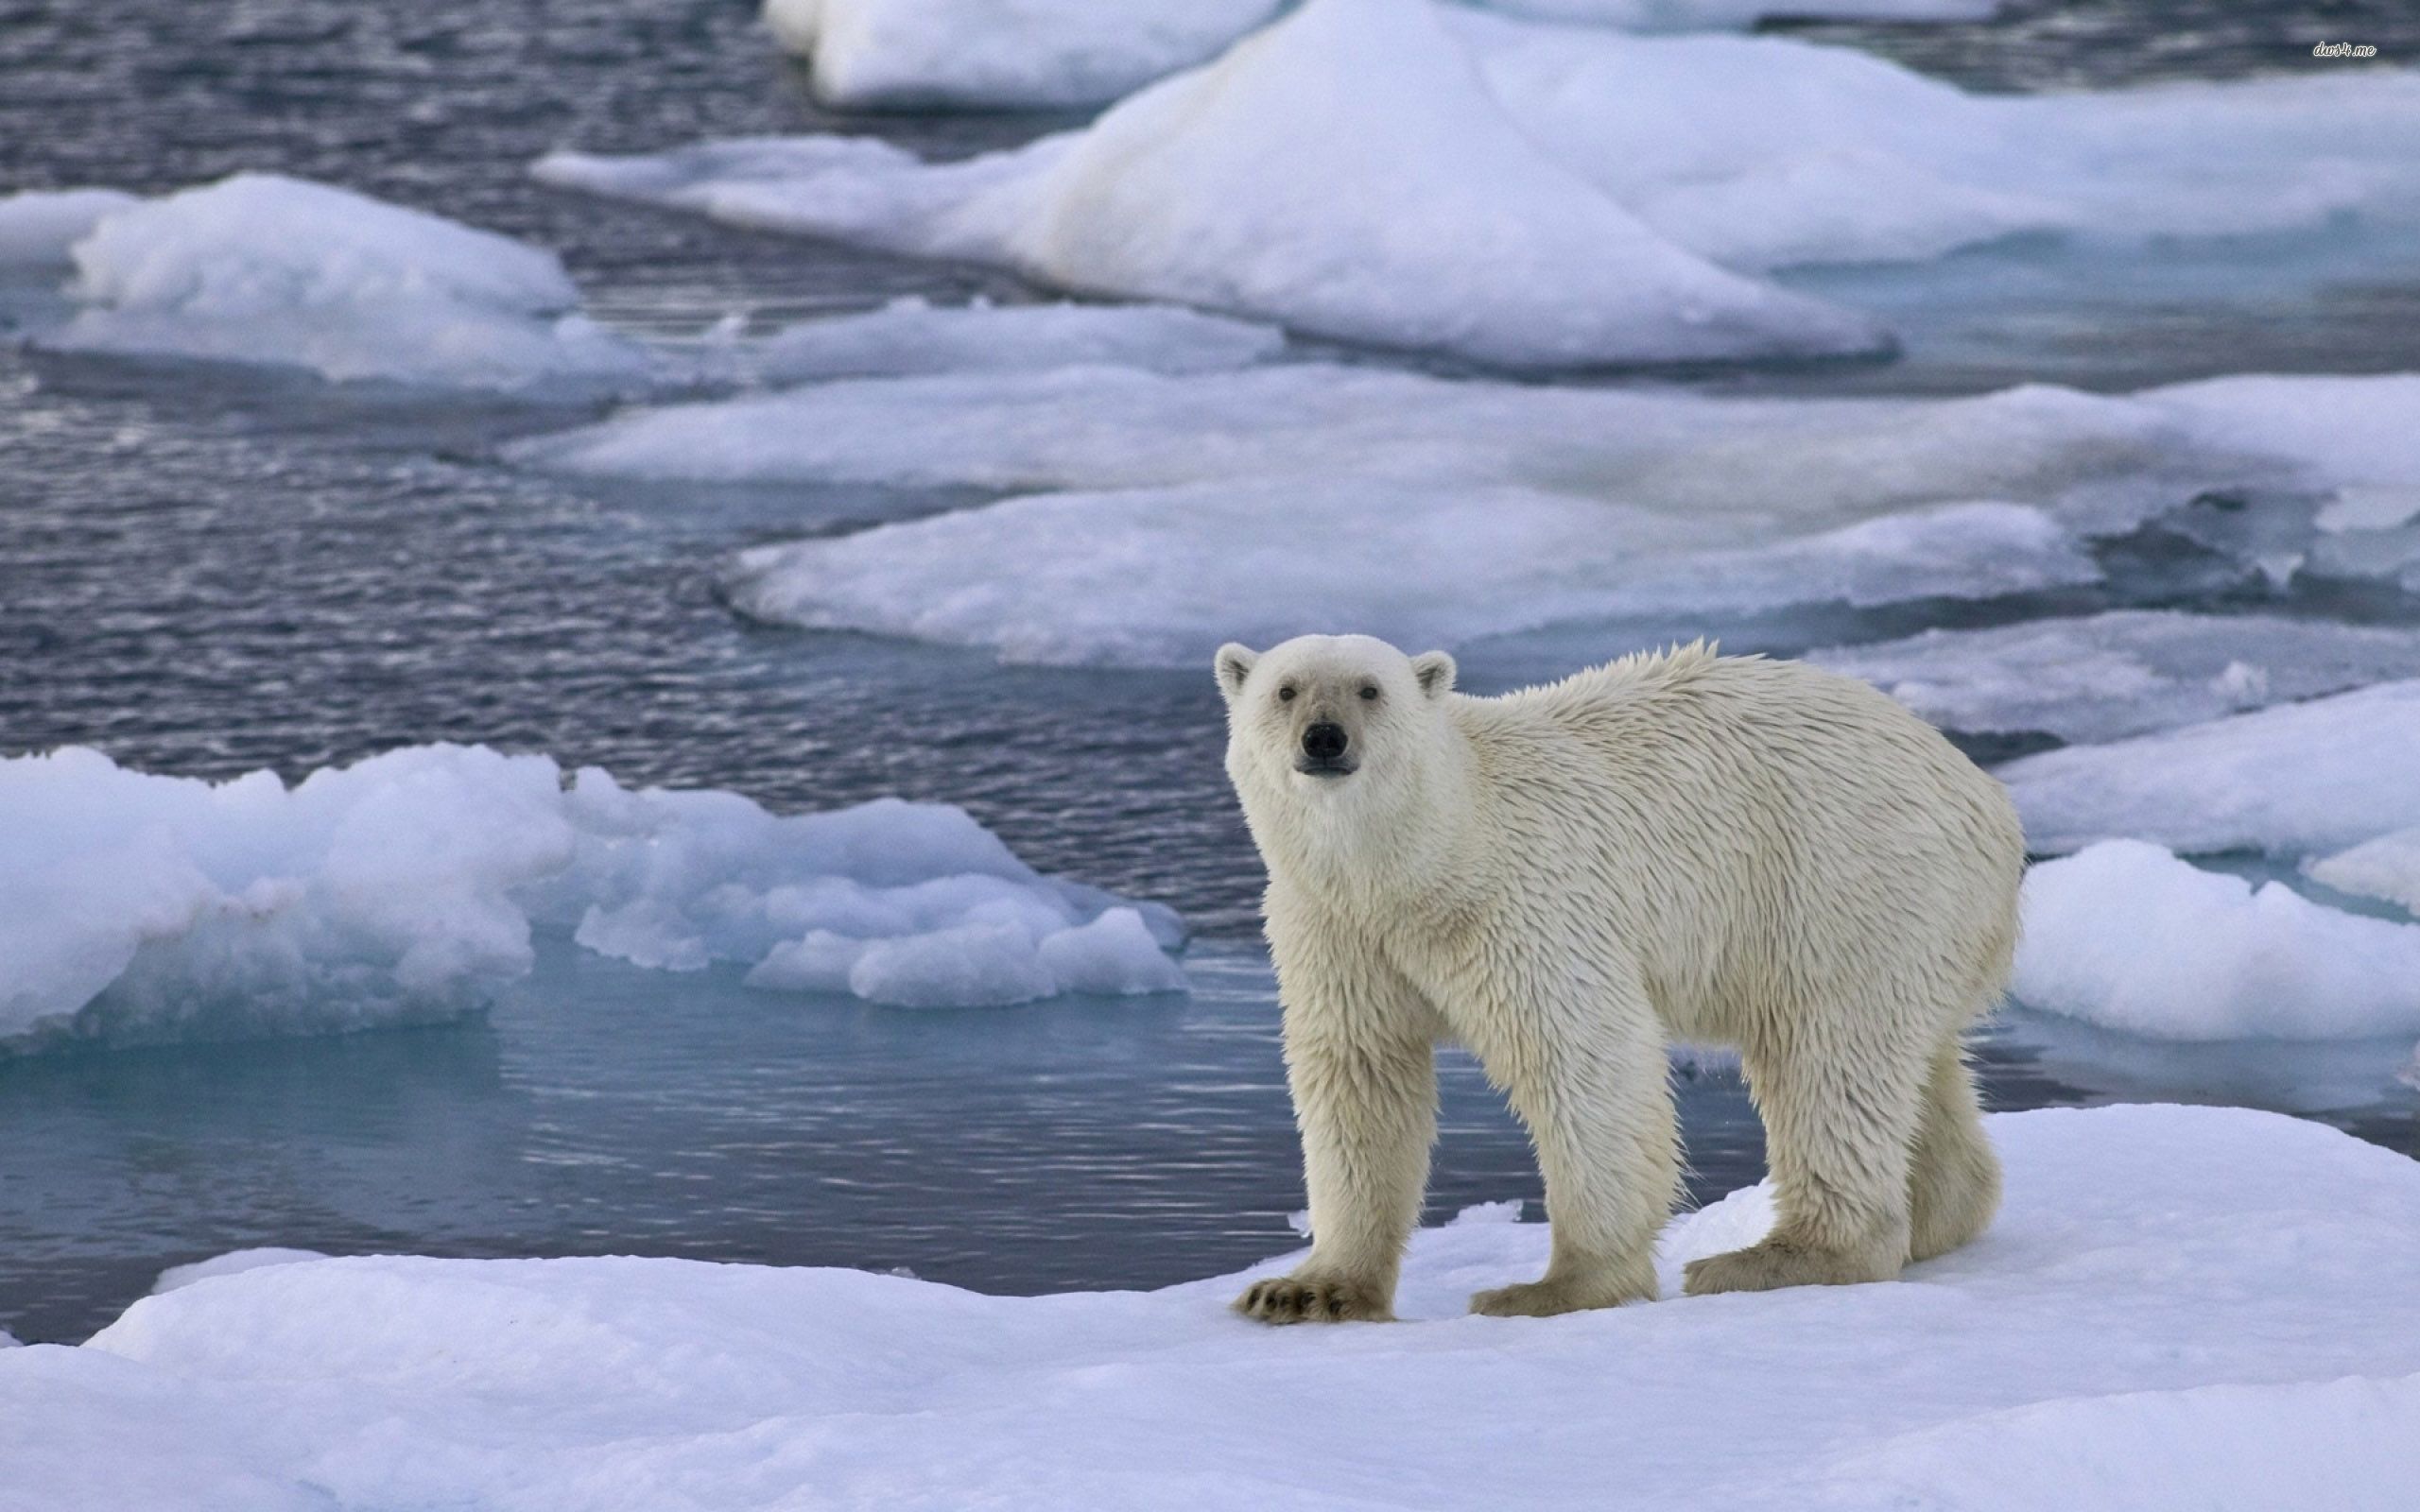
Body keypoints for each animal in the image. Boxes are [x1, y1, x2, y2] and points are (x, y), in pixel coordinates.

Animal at [1210, 638, 2023, 1315]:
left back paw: (1776, 1257)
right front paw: (1304, 1291)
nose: (1324, 738)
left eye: (1369, 689)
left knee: (1827, 1057)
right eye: (1286, 689)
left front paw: (1551, 1288)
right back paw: (1939, 1213)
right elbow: (1359, 1076)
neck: (1425, 863)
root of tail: (1986, 799)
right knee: (1911, 1063)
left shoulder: (1526, 899)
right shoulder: (1337, 931)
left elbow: (1582, 1057)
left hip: (1843, 882)